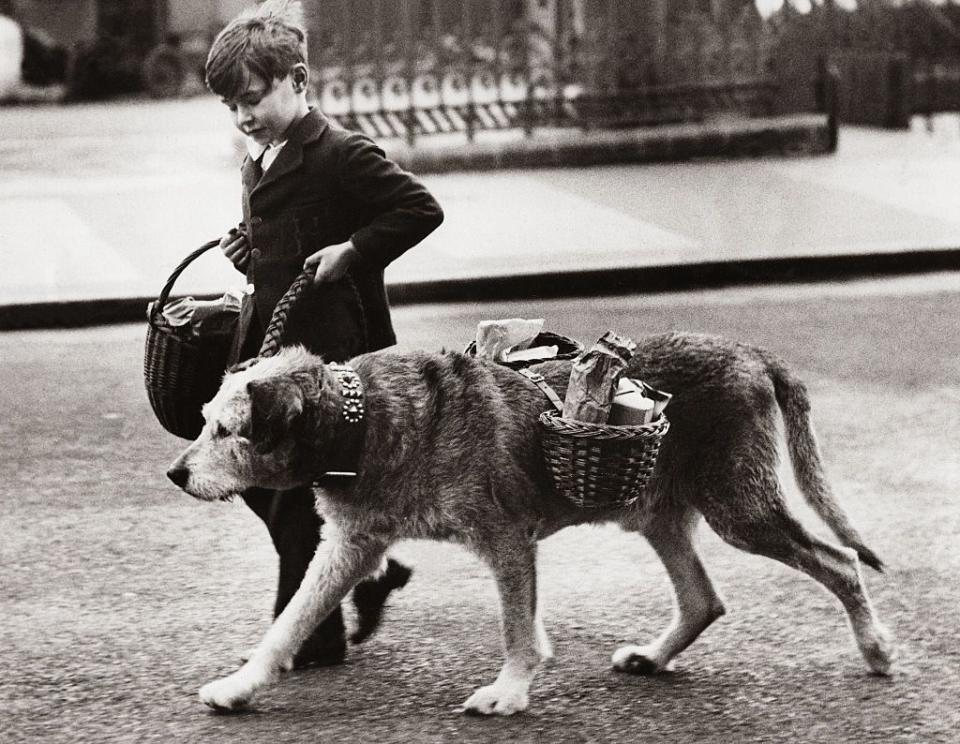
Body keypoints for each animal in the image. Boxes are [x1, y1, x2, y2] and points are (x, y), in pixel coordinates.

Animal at [165, 332, 892, 716]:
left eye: (227, 431)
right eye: (204, 421)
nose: (175, 473)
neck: (362, 419)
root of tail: (755, 353)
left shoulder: (505, 538)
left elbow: (516, 626)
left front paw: (510, 690)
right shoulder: (350, 544)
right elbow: (288, 622)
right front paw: (241, 685)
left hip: (740, 508)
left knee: (840, 563)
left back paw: (876, 648)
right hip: (656, 512)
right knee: (702, 599)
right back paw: (655, 656)